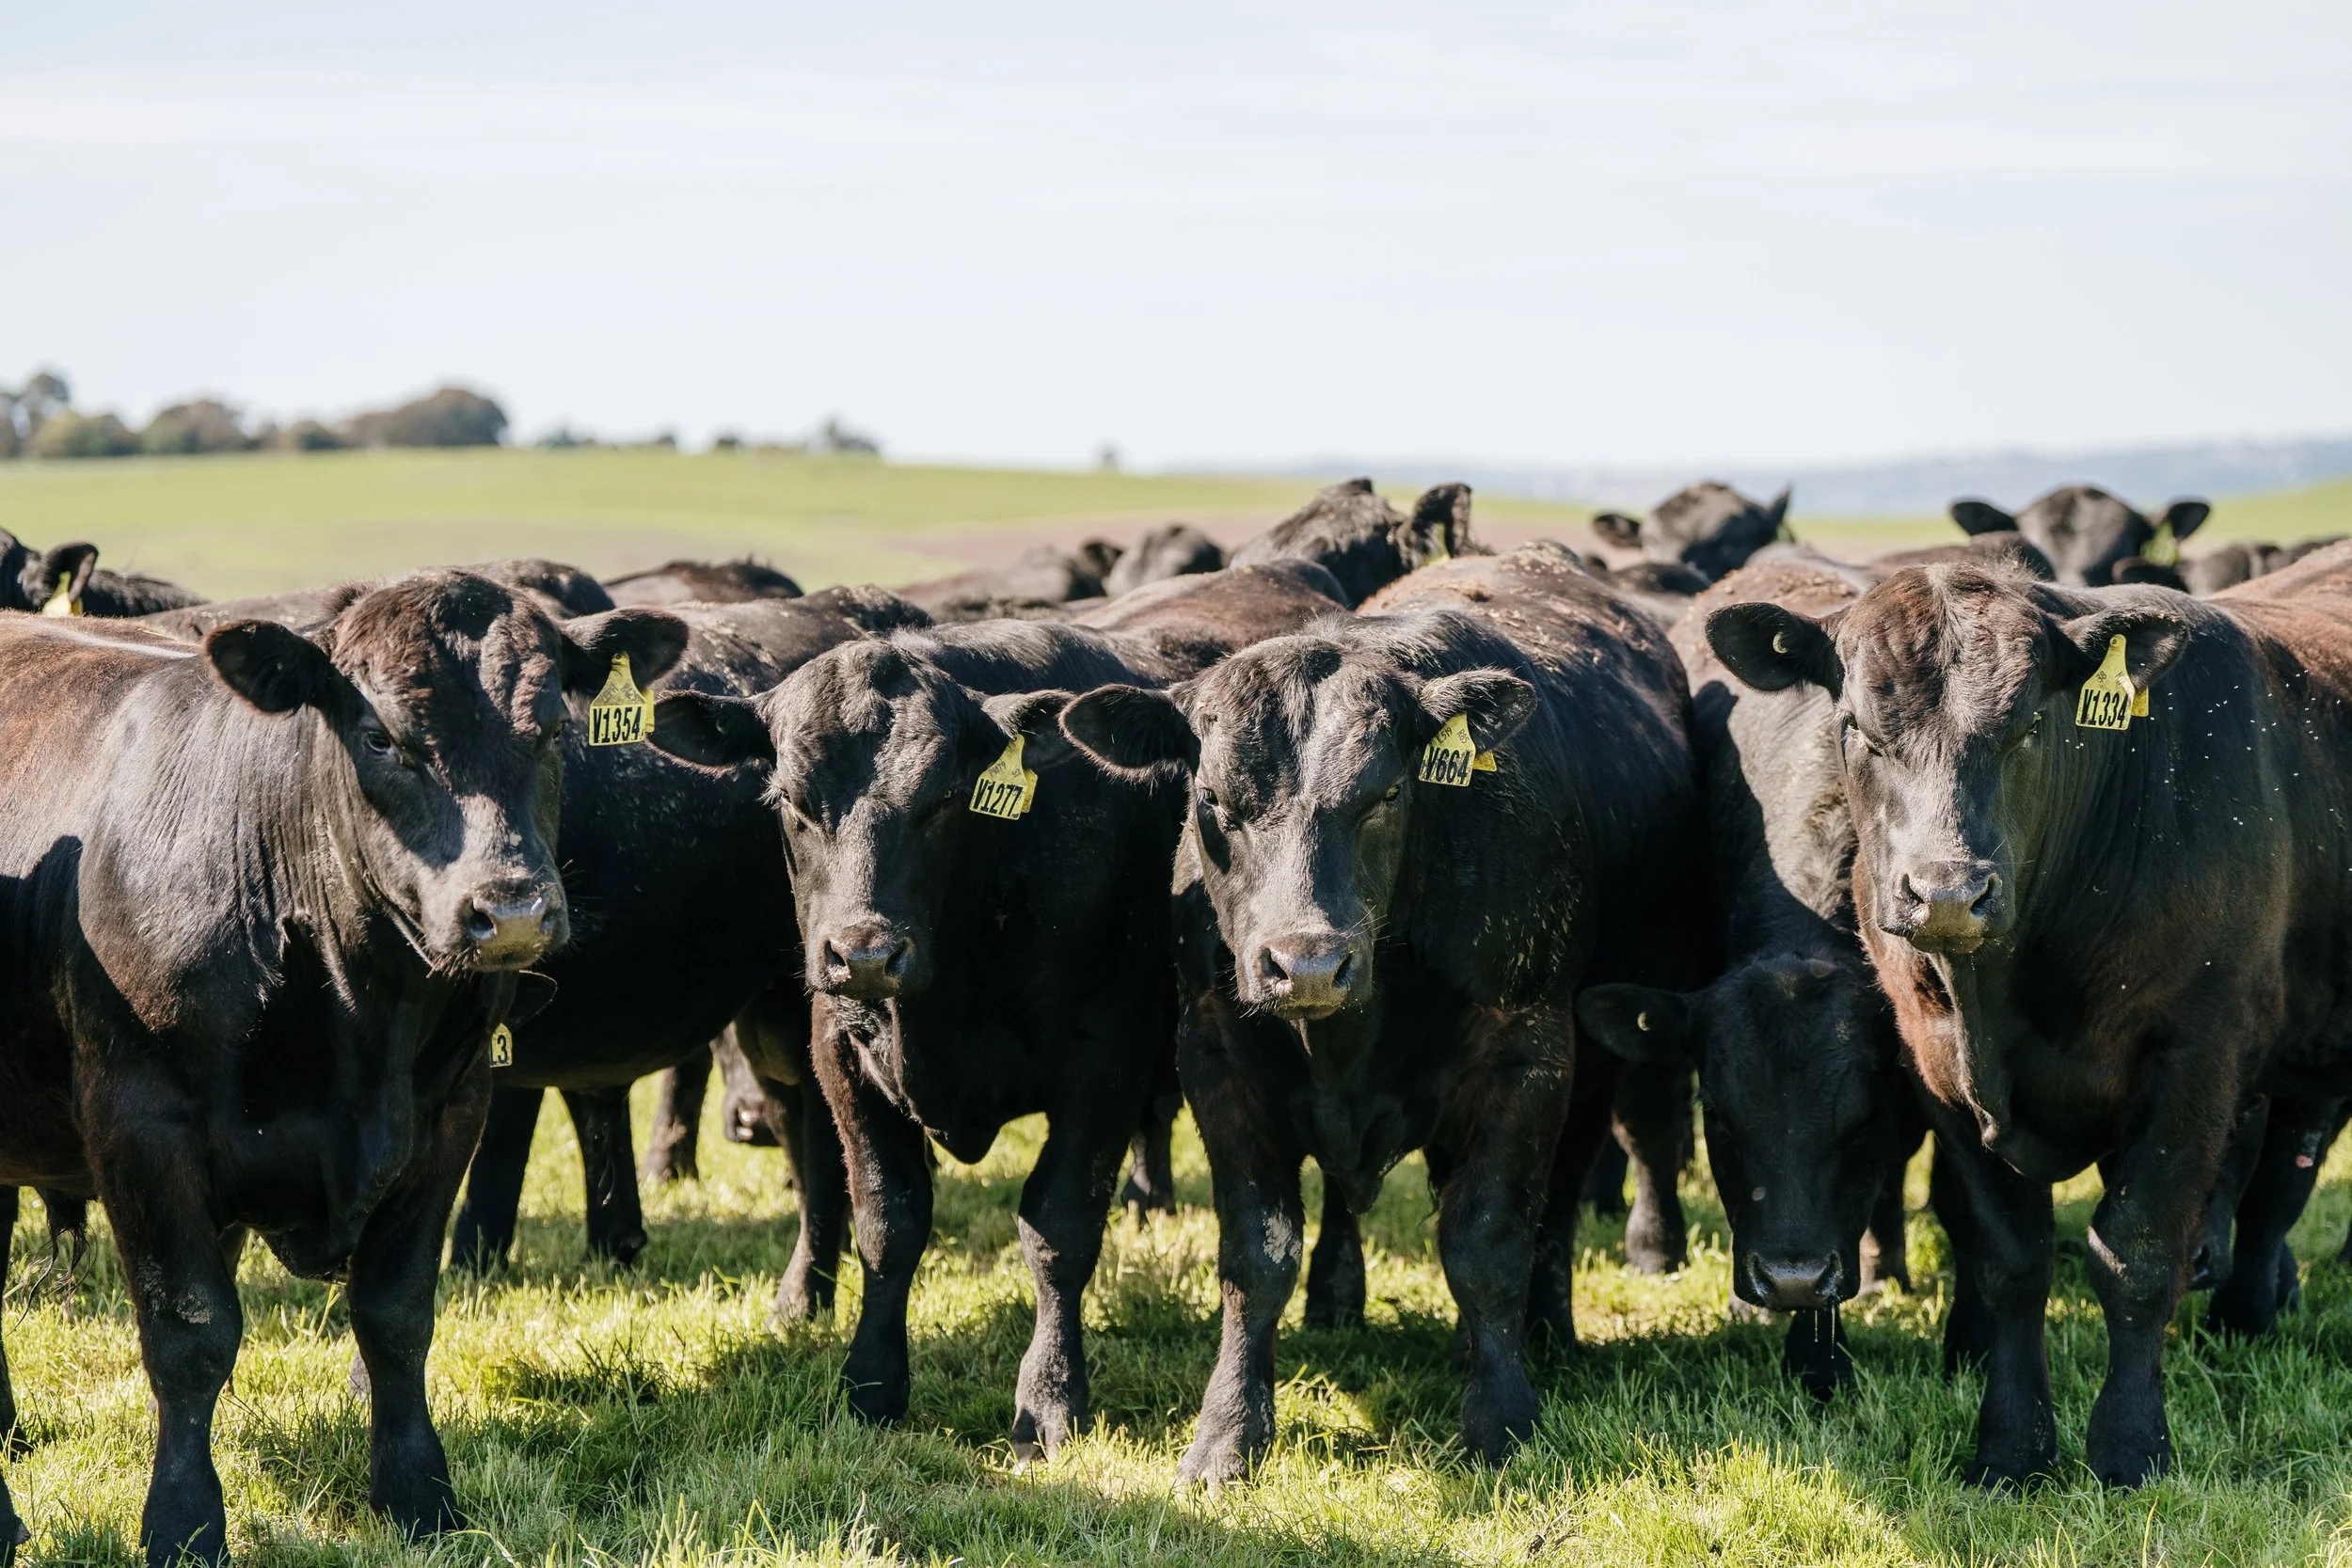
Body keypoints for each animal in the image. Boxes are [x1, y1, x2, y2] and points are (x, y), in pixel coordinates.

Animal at [0, 574, 683, 1565]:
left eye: (557, 727)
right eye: (381, 736)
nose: (512, 908)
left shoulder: (452, 1111)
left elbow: (396, 1316)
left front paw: (419, 1498)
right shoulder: (139, 1121)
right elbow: (190, 1332)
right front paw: (183, 1525)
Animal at [1058, 540, 1708, 1478]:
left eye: (1387, 793)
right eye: (1213, 800)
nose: (1307, 962)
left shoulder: (1530, 1055)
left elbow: (1487, 1243)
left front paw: (1502, 1418)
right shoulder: (1215, 1059)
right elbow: (1256, 1254)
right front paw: (1227, 1432)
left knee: (1561, 1200)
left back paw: (1544, 1335)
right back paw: (1339, 1298)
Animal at [1704, 542, 2352, 1487]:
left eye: (2029, 728)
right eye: (1858, 727)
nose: (1946, 891)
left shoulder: (2196, 1056)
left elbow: (2137, 1253)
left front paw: (2130, 1447)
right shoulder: (1935, 1068)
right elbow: (2008, 1261)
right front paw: (2010, 1448)